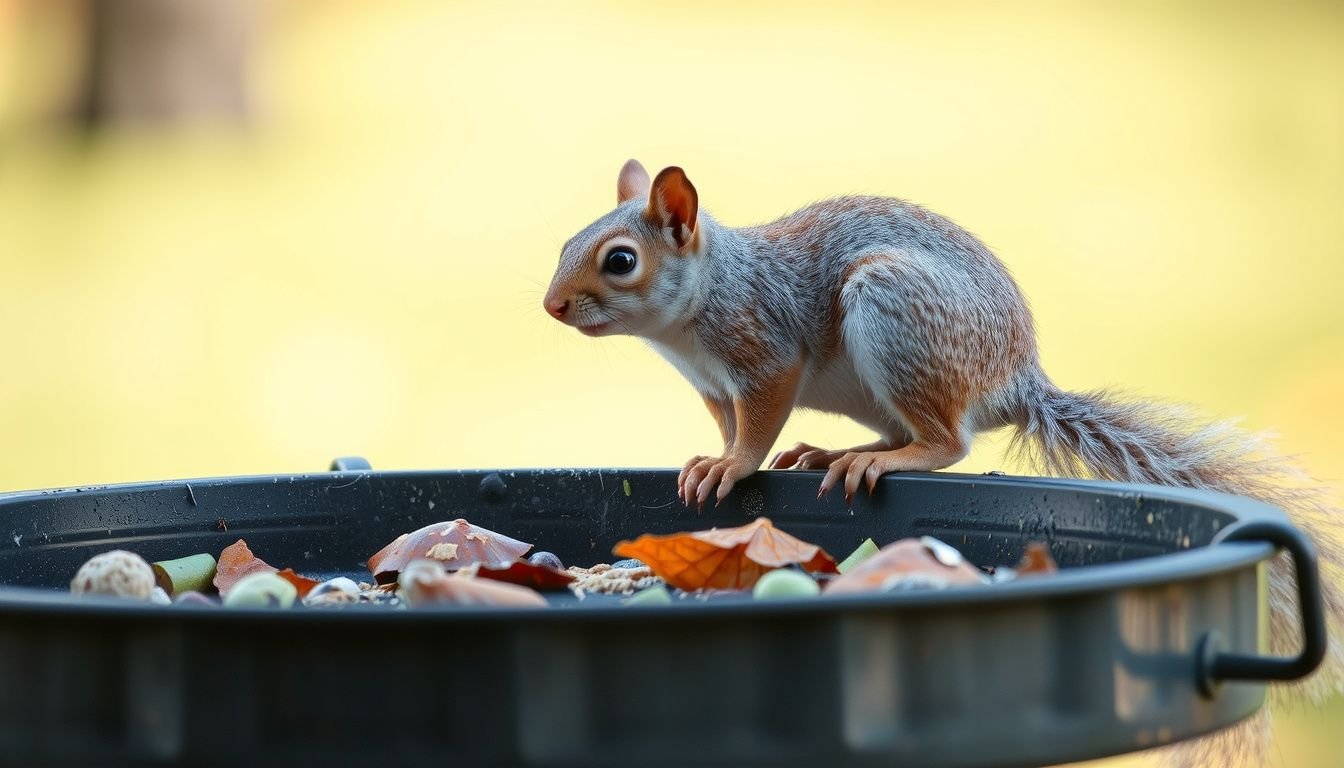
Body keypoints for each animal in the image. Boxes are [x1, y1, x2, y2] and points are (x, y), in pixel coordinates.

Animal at [542, 159, 1343, 767]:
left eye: (621, 260)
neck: (693, 313)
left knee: (946, 441)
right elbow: (730, 425)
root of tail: (1014, 380)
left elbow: (758, 426)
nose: (551, 306)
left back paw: (873, 460)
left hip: (895, 314)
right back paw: (840, 451)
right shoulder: (714, 387)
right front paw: (713, 458)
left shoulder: (763, 353)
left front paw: (731, 467)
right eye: (565, 244)